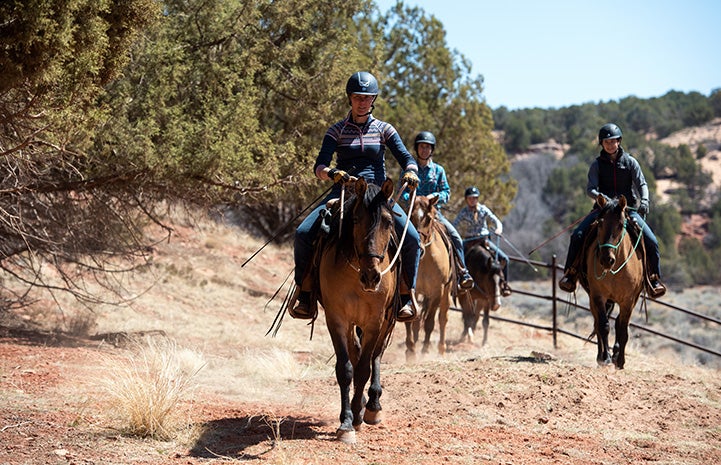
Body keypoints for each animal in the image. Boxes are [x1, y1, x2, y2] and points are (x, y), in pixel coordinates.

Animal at [320, 177, 402, 442]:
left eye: (388, 222)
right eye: (355, 220)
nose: (371, 277)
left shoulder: (375, 321)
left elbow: (365, 368)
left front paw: (357, 415)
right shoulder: (337, 319)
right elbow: (346, 369)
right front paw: (345, 422)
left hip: (387, 320)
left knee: (376, 355)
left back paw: (373, 406)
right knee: (356, 353)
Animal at [402, 194, 452, 360]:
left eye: (429, 218)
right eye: (409, 216)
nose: (420, 249)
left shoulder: (438, 291)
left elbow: (430, 321)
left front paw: (424, 350)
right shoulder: (413, 290)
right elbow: (412, 320)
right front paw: (411, 350)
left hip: (446, 293)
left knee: (442, 318)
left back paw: (441, 349)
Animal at [576, 194, 644, 368]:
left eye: (620, 225)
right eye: (600, 223)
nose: (607, 259)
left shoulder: (628, 300)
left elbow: (623, 329)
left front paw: (620, 361)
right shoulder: (598, 296)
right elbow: (603, 325)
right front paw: (605, 358)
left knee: (618, 322)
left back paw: (616, 354)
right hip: (595, 298)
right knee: (597, 322)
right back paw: (602, 356)